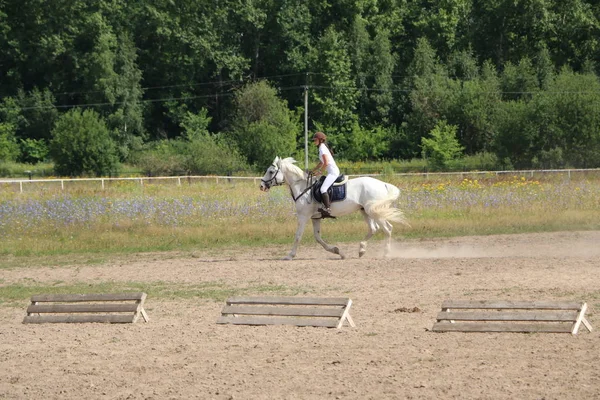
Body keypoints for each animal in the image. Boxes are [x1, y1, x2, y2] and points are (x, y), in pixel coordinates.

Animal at [258, 156, 408, 260]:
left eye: (271, 171)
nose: (261, 186)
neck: (303, 188)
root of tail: (383, 184)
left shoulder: (303, 216)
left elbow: (298, 236)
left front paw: (290, 255)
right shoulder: (315, 218)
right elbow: (318, 238)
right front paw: (338, 251)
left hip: (374, 211)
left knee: (387, 229)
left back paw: (386, 254)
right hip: (366, 211)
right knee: (374, 229)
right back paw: (361, 250)